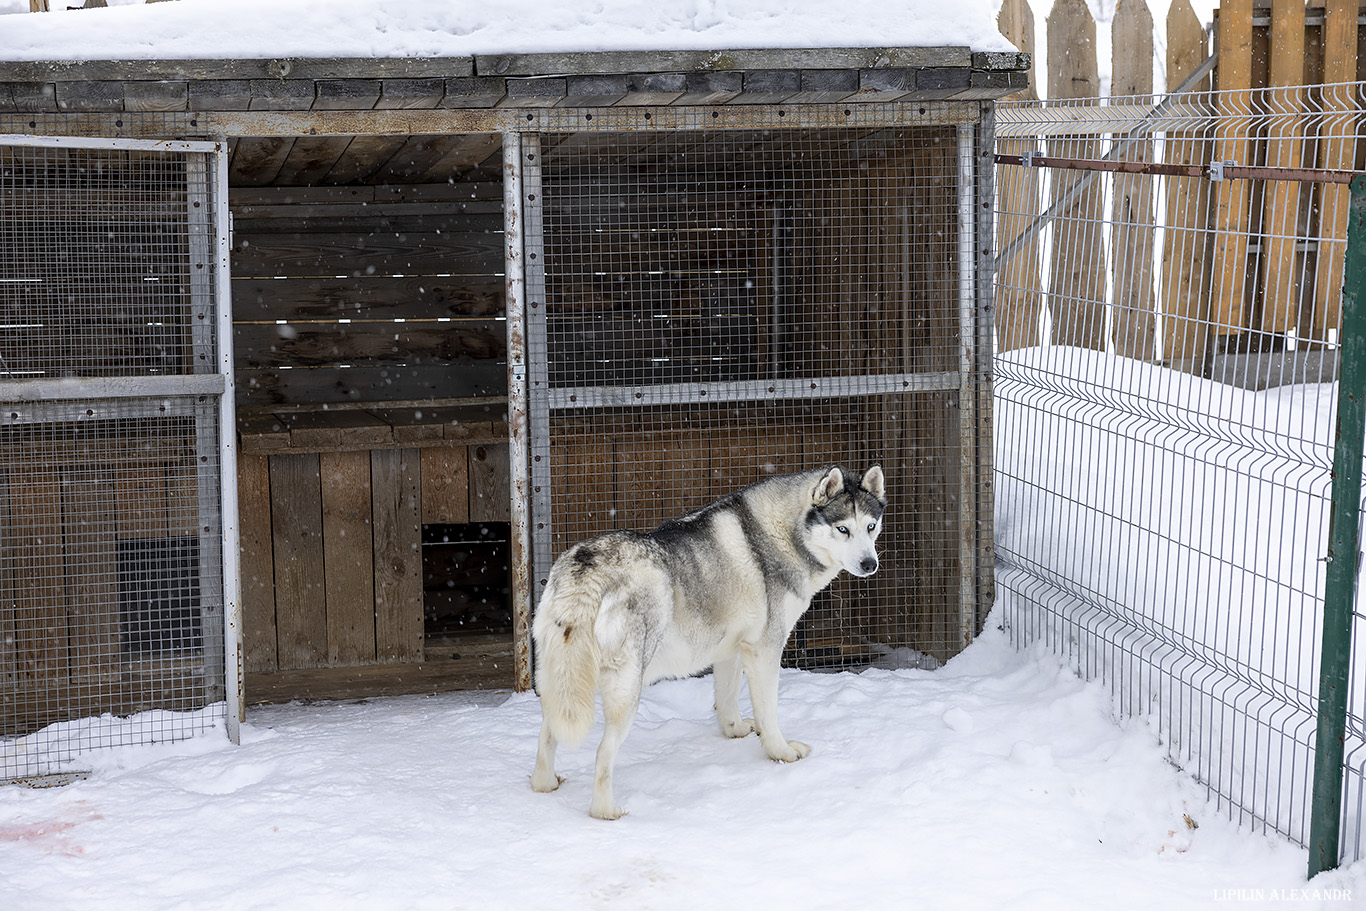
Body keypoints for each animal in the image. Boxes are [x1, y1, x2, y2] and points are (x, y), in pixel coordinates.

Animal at [532, 464, 885, 819]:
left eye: (870, 526)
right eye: (842, 529)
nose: (870, 564)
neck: (781, 535)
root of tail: (587, 565)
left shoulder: (731, 649)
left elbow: (727, 699)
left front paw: (734, 731)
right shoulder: (765, 650)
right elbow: (769, 713)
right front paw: (781, 753)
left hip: (561, 685)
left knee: (548, 735)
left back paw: (545, 784)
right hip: (626, 689)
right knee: (603, 753)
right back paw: (606, 811)